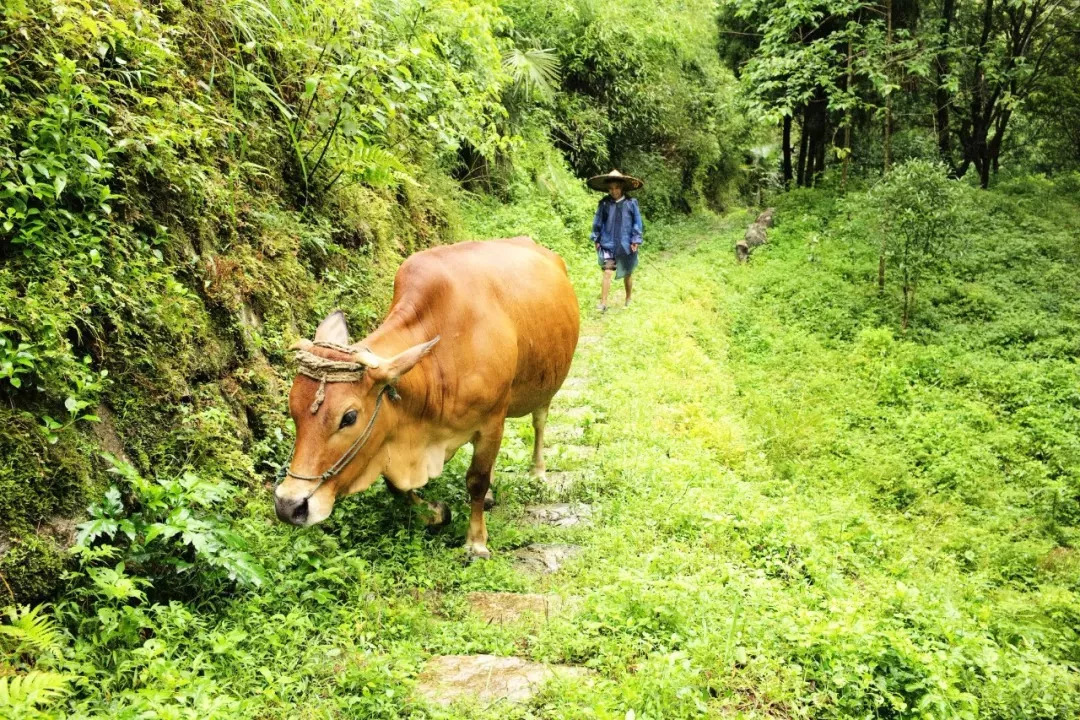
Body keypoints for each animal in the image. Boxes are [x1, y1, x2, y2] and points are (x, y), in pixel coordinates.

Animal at [276, 236, 583, 557]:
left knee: (539, 422)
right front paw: (436, 513)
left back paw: (537, 472)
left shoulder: (491, 422)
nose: (288, 506)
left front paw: (476, 542)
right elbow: (398, 487)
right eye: (292, 409)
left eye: (348, 417)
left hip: (545, 388)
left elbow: (476, 480)